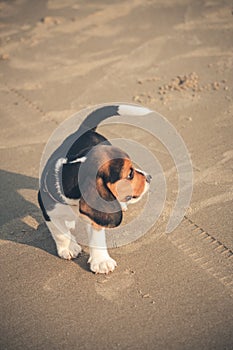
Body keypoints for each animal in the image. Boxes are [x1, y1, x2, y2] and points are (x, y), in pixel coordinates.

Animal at [38, 104, 151, 274]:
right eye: (130, 174)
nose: (149, 177)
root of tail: (85, 129)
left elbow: (97, 236)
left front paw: (101, 261)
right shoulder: (47, 209)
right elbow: (60, 233)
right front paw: (68, 248)